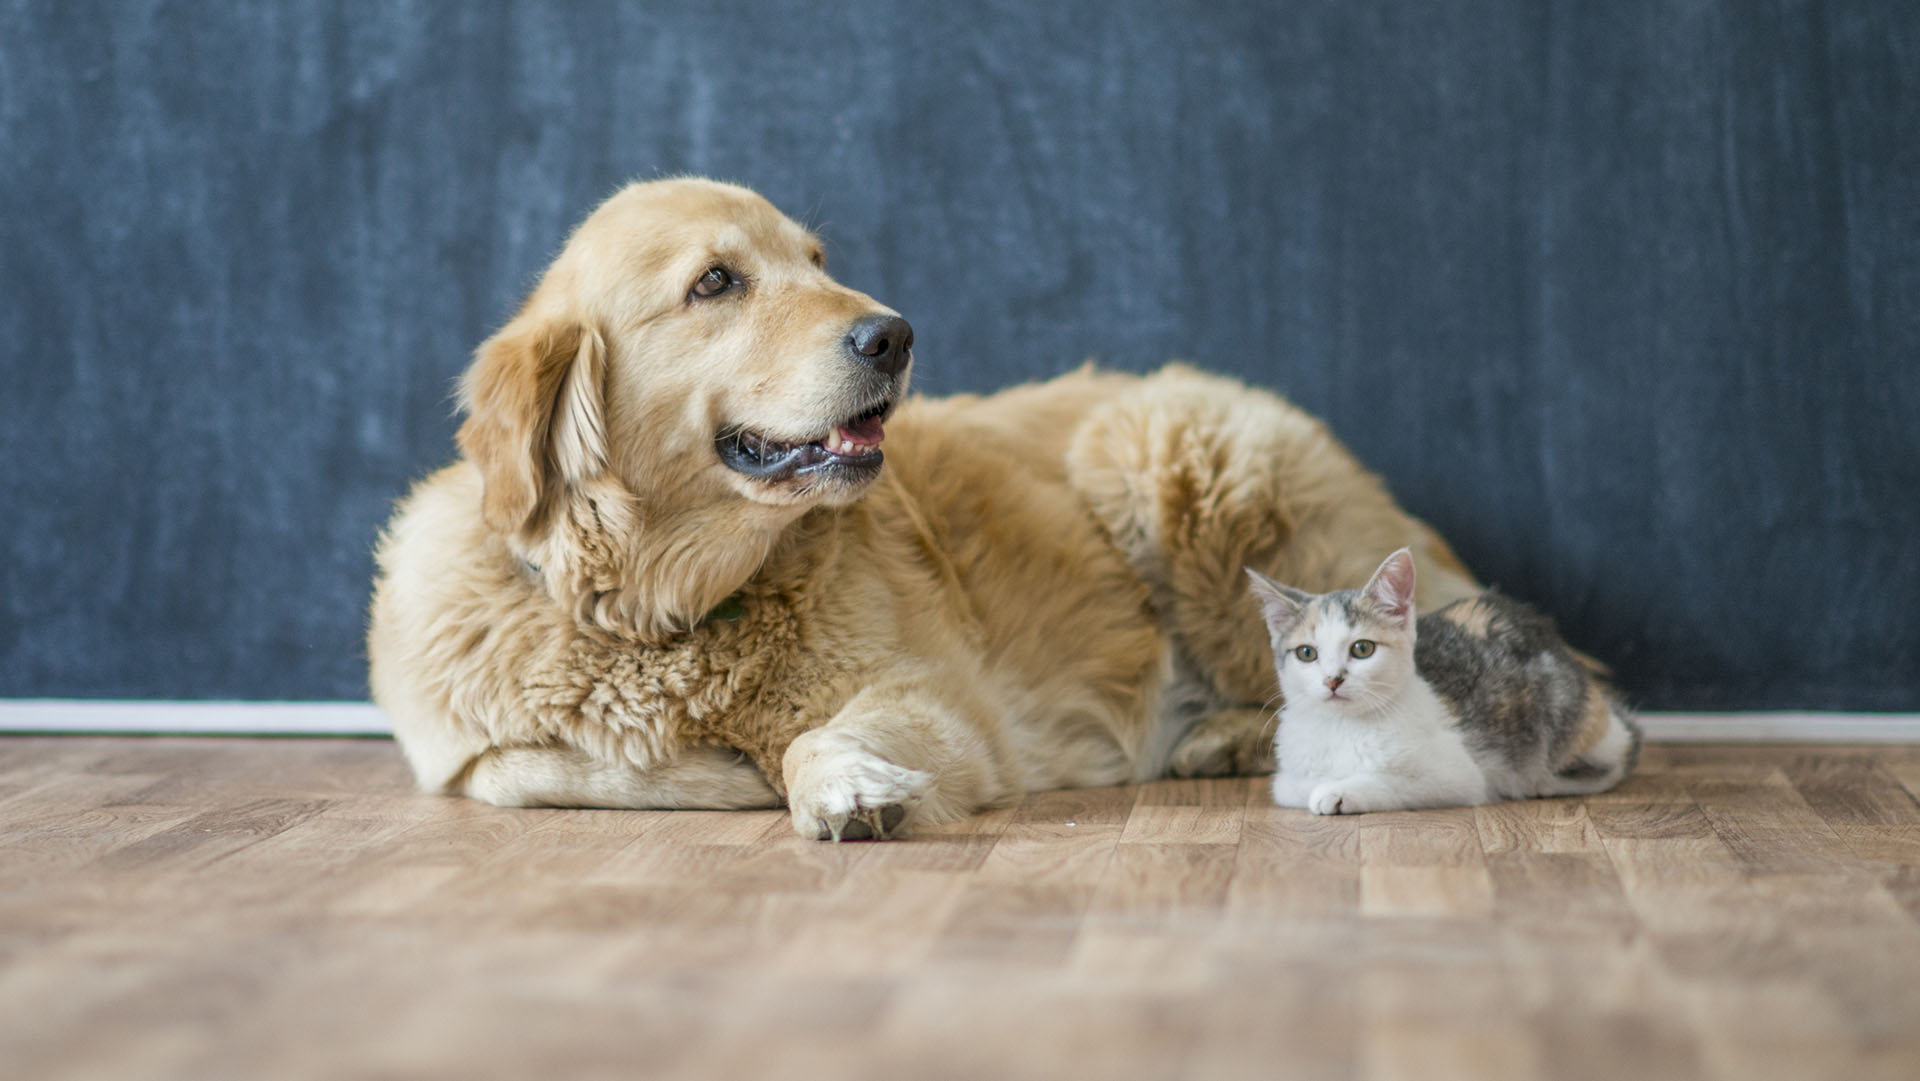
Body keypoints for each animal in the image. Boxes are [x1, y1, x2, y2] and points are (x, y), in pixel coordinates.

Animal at [374, 177, 1482, 840]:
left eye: (817, 260)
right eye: (715, 282)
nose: (894, 335)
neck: (667, 611)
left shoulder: (942, 701)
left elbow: (818, 737)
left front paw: (832, 782)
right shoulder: (460, 749)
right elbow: (517, 770)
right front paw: (731, 769)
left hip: (1166, 451)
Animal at [1251, 545, 1643, 817]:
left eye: (1362, 649)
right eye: (1307, 653)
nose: (1333, 680)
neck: (1342, 727)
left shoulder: (1459, 775)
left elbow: (1392, 781)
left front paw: (1339, 791)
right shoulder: (1288, 775)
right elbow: (1288, 786)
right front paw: (1322, 784)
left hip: (1561, 712)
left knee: (1618, 753)